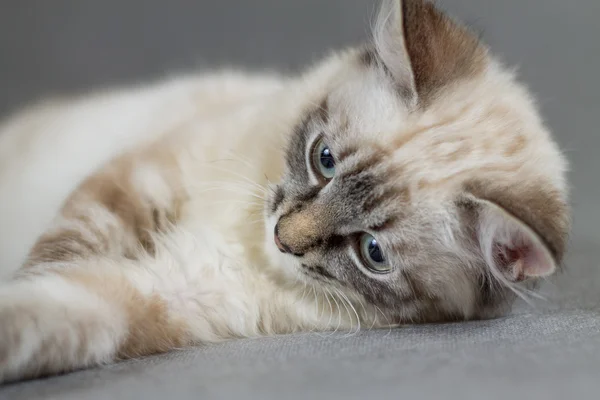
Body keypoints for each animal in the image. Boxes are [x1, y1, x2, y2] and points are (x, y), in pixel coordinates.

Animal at [0, 0, 568, 384]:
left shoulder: (167, 292)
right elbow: (61, 251)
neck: (241, 242)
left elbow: (48, 311)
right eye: (324, 160)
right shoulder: (147, 174)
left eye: (373, 253)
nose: (281, 237)